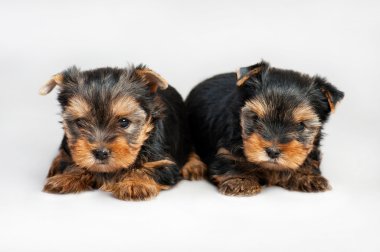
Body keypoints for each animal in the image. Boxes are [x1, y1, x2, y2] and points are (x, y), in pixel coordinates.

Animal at [40, 65, 205, 201]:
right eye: (80, 122)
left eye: (124, 122)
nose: (100, 153)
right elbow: (75, 163)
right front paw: (66, 177)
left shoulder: (165, 162)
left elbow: (152, 168)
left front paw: (135, 183)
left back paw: (194, 166)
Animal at [187, 62, 344, 196]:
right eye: (256, 118)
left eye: (300, 125)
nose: (273, 152)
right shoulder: (226, 148)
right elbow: (230, 160)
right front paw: (240, 180)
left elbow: (309, 158)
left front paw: (307, 176)